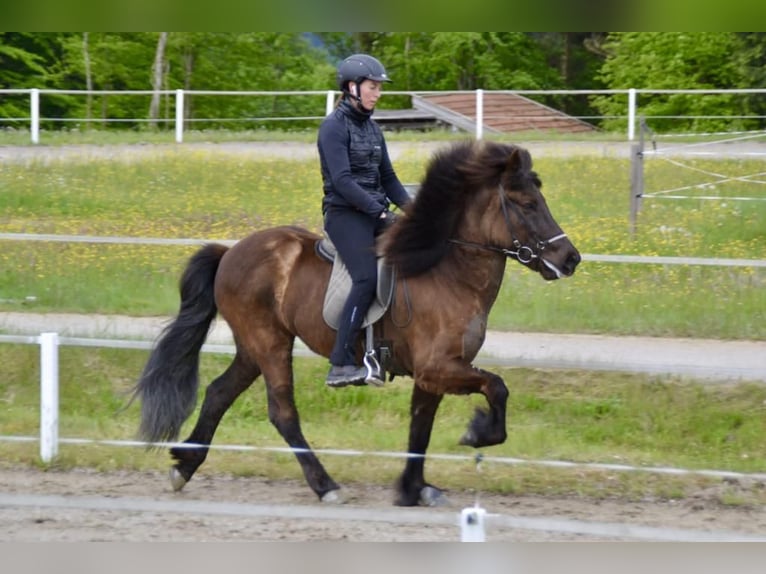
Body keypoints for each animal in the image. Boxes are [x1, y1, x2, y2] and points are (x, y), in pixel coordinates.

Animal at [133, 139, 581, 507]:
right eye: (527, 204)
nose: (570, 259)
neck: (446, 271)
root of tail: (230, 252)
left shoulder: (431, 374)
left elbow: (421, 426)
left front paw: (413, 489)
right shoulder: (439, 367)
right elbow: (497, 387)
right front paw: (477, 433)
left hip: (252, 347)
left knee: (218, 394)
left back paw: (183, 467)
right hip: (269, 343)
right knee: (282, 412)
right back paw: (325, 485)